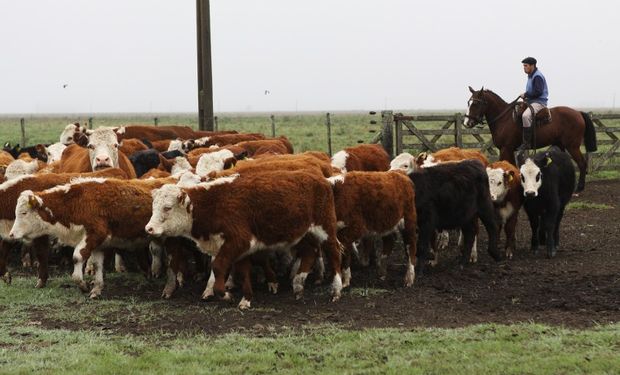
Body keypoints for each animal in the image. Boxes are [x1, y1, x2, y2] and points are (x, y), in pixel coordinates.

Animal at [145, 172, 344, 310]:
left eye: (167, 207)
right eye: (153, 207)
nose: (149, 228)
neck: (213, 203)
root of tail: (324, 180)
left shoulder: (238, 241)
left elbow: (218, 267)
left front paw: (226, 295)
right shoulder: (238, 247)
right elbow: (243, 271)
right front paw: (246, 299)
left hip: (325, 229)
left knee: (334, 254)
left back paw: (336, 290)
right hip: (303, 234)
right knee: (310, 252)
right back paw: (298, 284)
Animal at [464, 86, 596, 192]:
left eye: (475, 104)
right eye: (468, 102)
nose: (467, 123)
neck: (504, 118)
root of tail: (578, 113)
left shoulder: (506, 149)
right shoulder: (508, 149)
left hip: (572, 146)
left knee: (582, 163)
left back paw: (579, 188)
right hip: (561, 145)